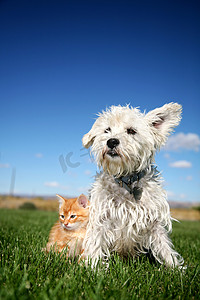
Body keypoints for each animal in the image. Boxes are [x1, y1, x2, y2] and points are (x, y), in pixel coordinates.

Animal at [81, 103, 184, 268]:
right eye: (107, 130)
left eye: (131, 131)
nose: (111, 141)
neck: (127, 180)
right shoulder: (101, 219)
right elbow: (96, 244)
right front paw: (94, 269)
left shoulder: (154, 222)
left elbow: (164, 246)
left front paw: (175, 268)